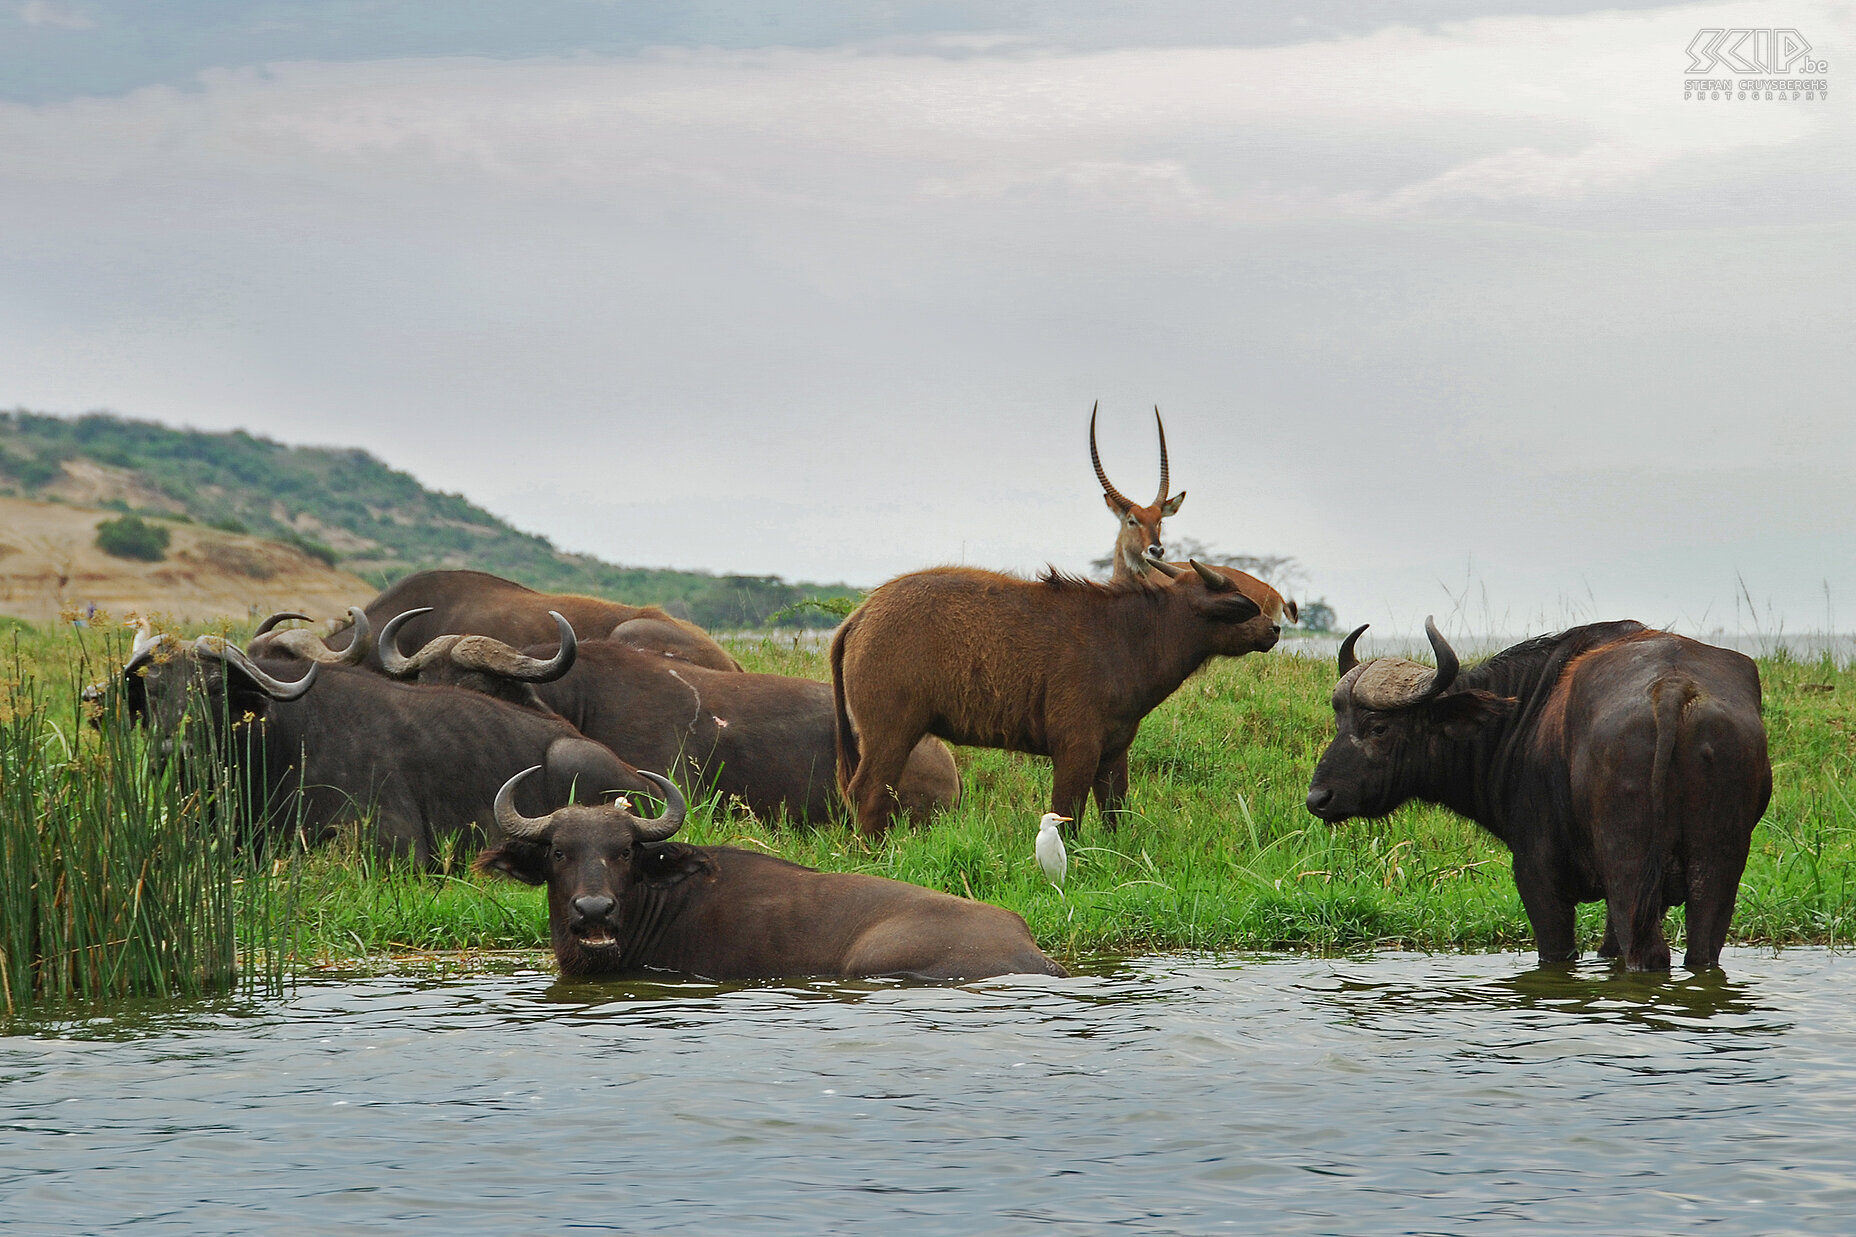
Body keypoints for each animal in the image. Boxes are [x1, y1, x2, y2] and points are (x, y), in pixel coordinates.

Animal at [831, 560, 1284, 832]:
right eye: (1239, 606)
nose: (1275, 628)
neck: (1128, 636)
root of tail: (862, 614)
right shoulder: (1076, 749)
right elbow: (1069, 811)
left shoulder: (1113, 753)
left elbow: (1116, 813)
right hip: (891, 735)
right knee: (867, 792)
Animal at [1306, 620, 1766, 965]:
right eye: (1340, 722)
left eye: (1378, 727)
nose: (1318, 798)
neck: (1523, 714)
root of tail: (1673, 690)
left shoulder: (1536, 872)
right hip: (1716, 863)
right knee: (1701, 951)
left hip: (1628, 868)